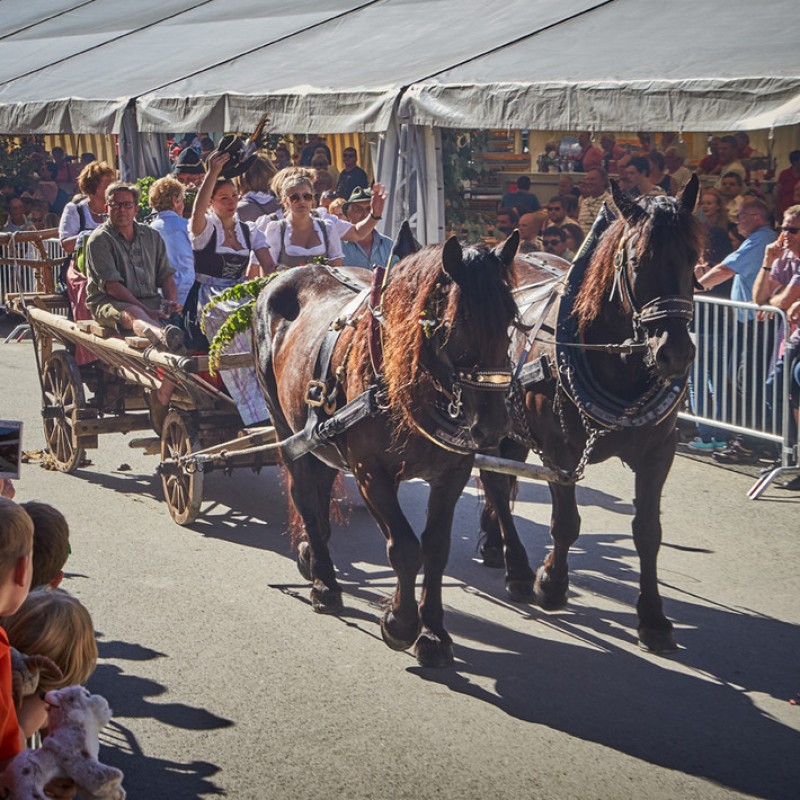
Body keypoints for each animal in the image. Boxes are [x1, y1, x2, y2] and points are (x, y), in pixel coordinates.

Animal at [255, 233, 520, 668]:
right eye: (457, 323)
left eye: (511, 318)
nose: (495, 424)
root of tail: (290, 272)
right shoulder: (370, 472)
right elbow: (405, 548)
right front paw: (400, 622)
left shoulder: (452, 474)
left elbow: (436, 548)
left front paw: (433, 633)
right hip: (284, 425)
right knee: (305, 495)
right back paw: (325, 585)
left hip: (321, 436)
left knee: (321, 488)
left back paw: (314, 553)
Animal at [482, 178, 700, 652]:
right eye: (637, 260)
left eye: (693, 258)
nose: (675, 354)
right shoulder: (558, 451)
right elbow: (566, 522)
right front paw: (551, 582)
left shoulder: (659, 452)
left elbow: (647, 532)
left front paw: (653, 618)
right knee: (494, 480)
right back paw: (517, 567)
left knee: (501, 476)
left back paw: (492, 542)